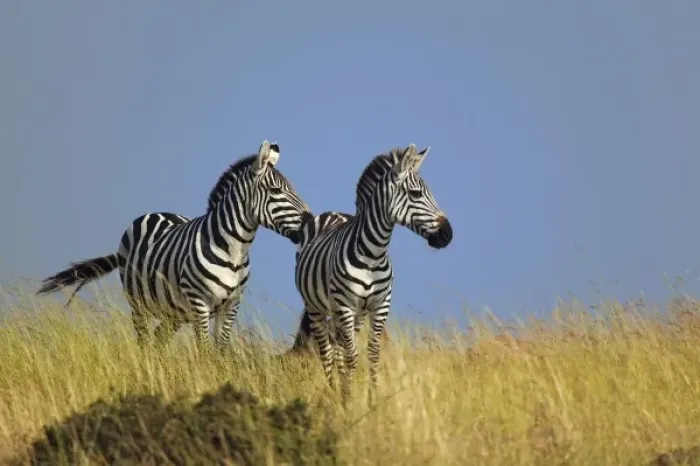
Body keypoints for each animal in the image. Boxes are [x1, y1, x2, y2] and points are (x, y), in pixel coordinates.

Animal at [37, 140, 312, 352]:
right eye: (276, 190)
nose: (310, 220)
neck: (234, 250)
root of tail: (157, 212)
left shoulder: (231, 304)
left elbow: (221, 351)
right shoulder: (200, 303)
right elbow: (205, 350)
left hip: (174, 311)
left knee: (159, 339)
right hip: (138, 303)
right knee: (144, 341)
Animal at [294, 143, 453, 403]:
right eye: (416, 194)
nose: (448, 235)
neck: (373, 254)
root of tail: (331, 212)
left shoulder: (379, 306)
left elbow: (372, 355)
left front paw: (371, 400)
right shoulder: (346, 306)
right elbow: (352, 357)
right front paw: (350, 401)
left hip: (350, 314)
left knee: (337, 349)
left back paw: (341, 391)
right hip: (316, 307)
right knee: (327, 352)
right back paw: (334, 393)